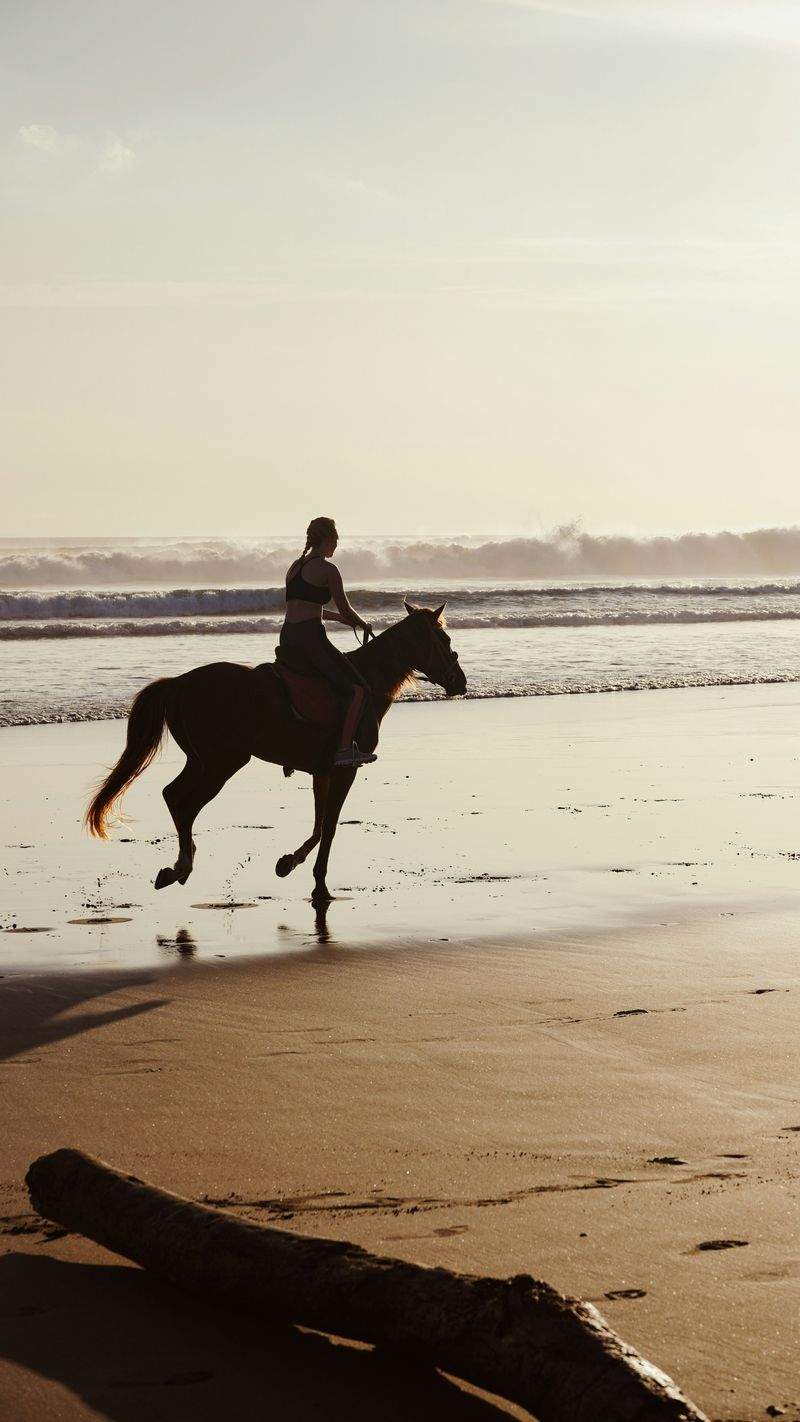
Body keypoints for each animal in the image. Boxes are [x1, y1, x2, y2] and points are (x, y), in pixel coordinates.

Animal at [84, 602, 466, 903]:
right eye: (445, 641)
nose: (460, 682)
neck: (369, 682)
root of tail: (179, 683)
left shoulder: (322, 770)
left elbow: (319, 825)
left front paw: (289, 863)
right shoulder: (346, 769)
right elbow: (330, 826)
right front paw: (319, 886)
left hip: (202, 761)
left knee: (172, 795)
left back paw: (179, 866)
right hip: (223, 763)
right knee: (182, 800)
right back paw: (181, 866)